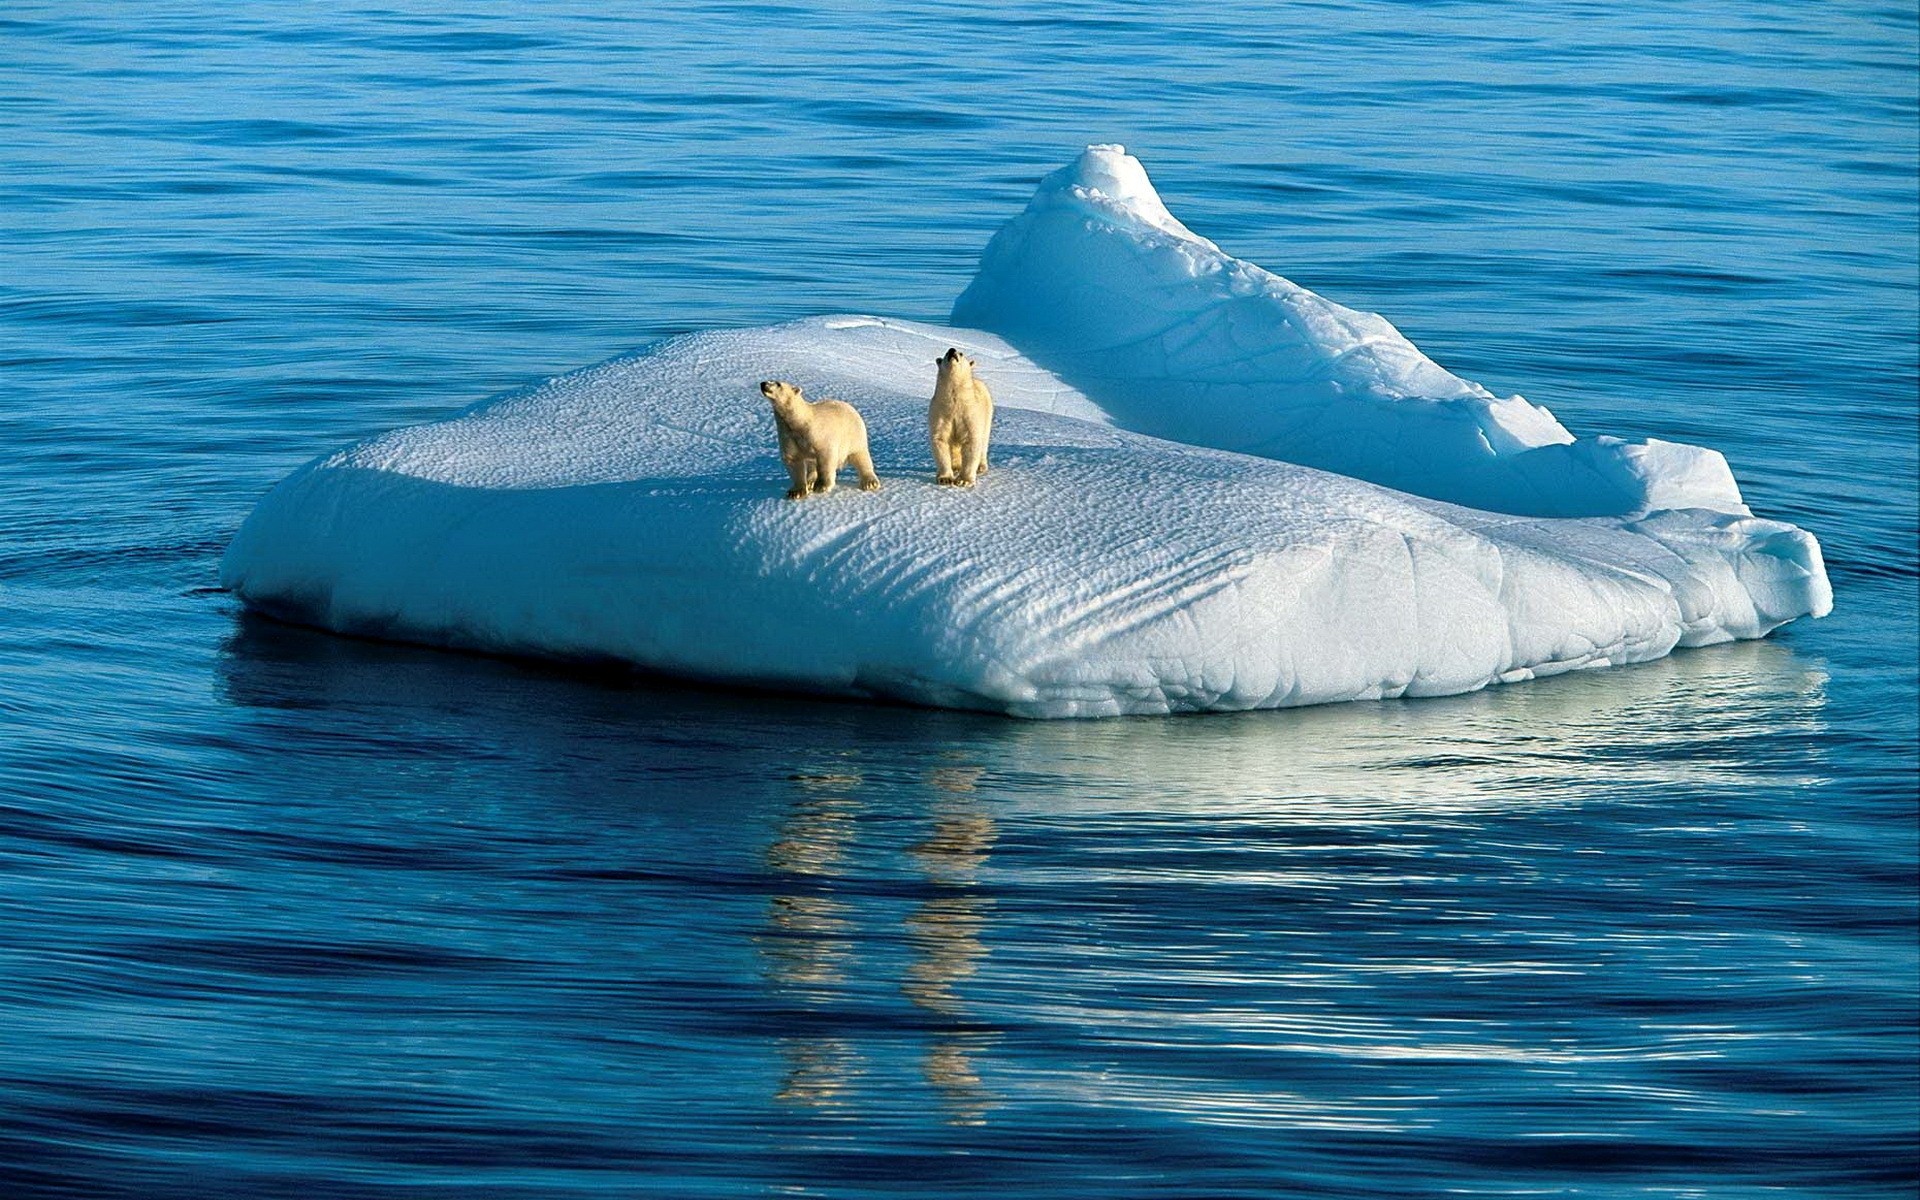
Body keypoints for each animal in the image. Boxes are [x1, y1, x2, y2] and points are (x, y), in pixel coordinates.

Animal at [925, 343, 990, 483]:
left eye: (961, 353)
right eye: (945, 354)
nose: (952, 350)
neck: (955, 403)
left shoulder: (969, 413)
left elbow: (972, 440)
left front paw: (964, 480)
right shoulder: (940, 412)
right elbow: (940, 439)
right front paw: (945, 478)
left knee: (984, 440)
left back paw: (981, 467)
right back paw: (955, 466)